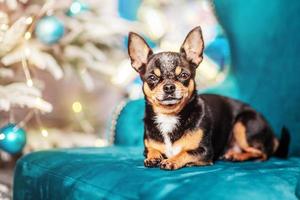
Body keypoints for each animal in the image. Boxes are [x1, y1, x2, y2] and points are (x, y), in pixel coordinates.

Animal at [127, 26, 290, 170]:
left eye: (184, 75)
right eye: (152, 78)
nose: (169, 87)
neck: (169, 117)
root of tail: (273, 135)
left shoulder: (204, 151)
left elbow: (185, 152)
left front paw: (171, 160)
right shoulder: (147, 148)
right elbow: (151, 150)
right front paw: (154, 157)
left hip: (243, 123)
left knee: (262, 153)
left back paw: (237, 156)